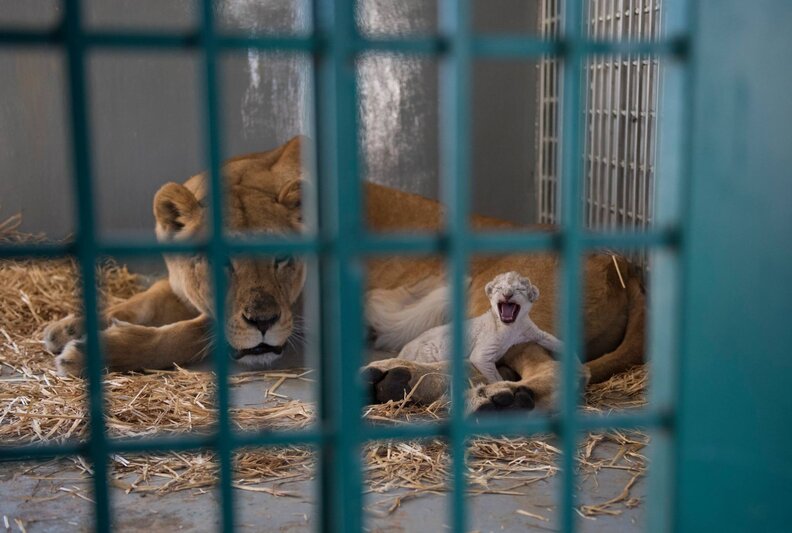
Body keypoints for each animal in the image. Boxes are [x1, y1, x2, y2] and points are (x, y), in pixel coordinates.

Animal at [43, 136, 645, 412]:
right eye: (219, 264)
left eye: (283, 260)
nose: (263, 321)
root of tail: (622, 261)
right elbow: (146, 303)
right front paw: (68, 324)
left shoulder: (304, 318)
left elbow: (191, 332)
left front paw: (94, 350)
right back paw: (395, 380)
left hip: (498, 305)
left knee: (560, 373)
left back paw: (497, 400)